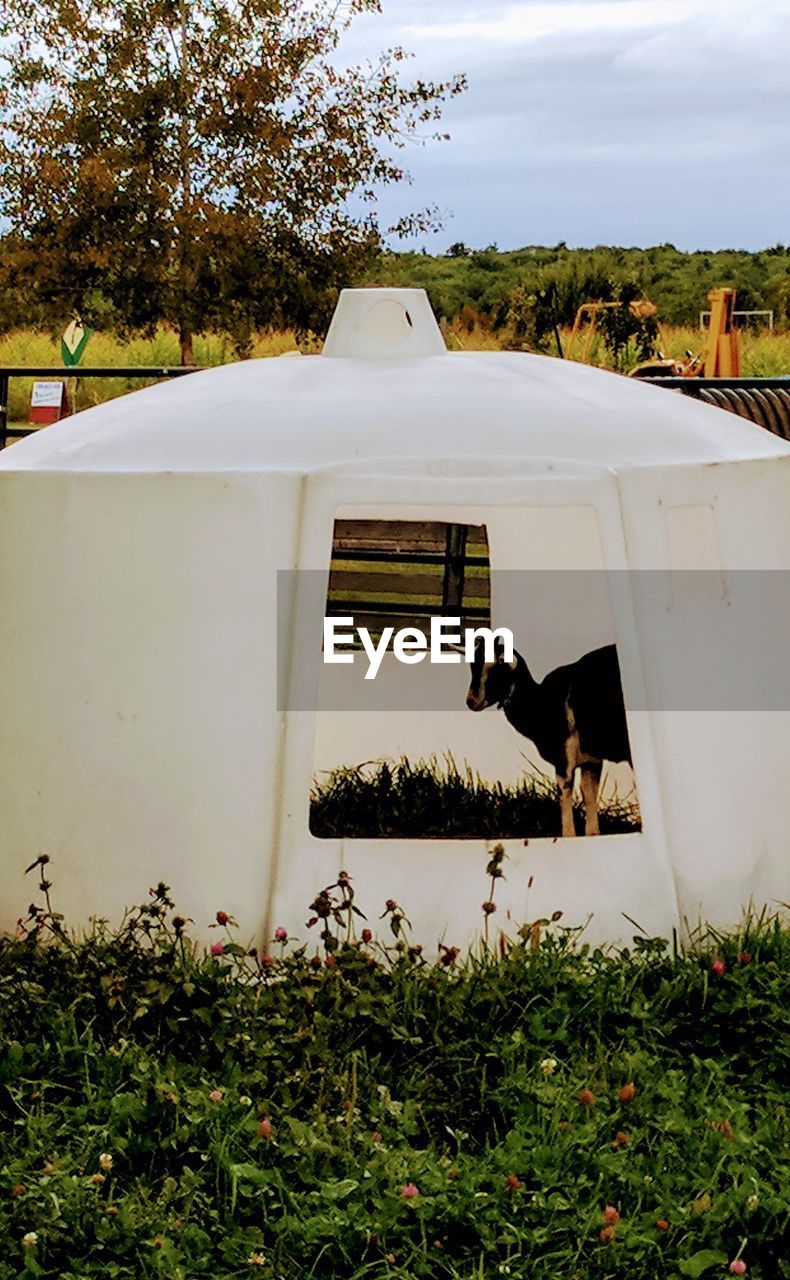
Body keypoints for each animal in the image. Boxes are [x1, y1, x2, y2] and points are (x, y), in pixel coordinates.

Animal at [466, 634, 632, 834]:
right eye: (472, 665)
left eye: (498, 667)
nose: (471, 701)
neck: (544, 701)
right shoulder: (591, 760)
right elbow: (589, 797)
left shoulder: (564, 759)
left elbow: (565, 798)